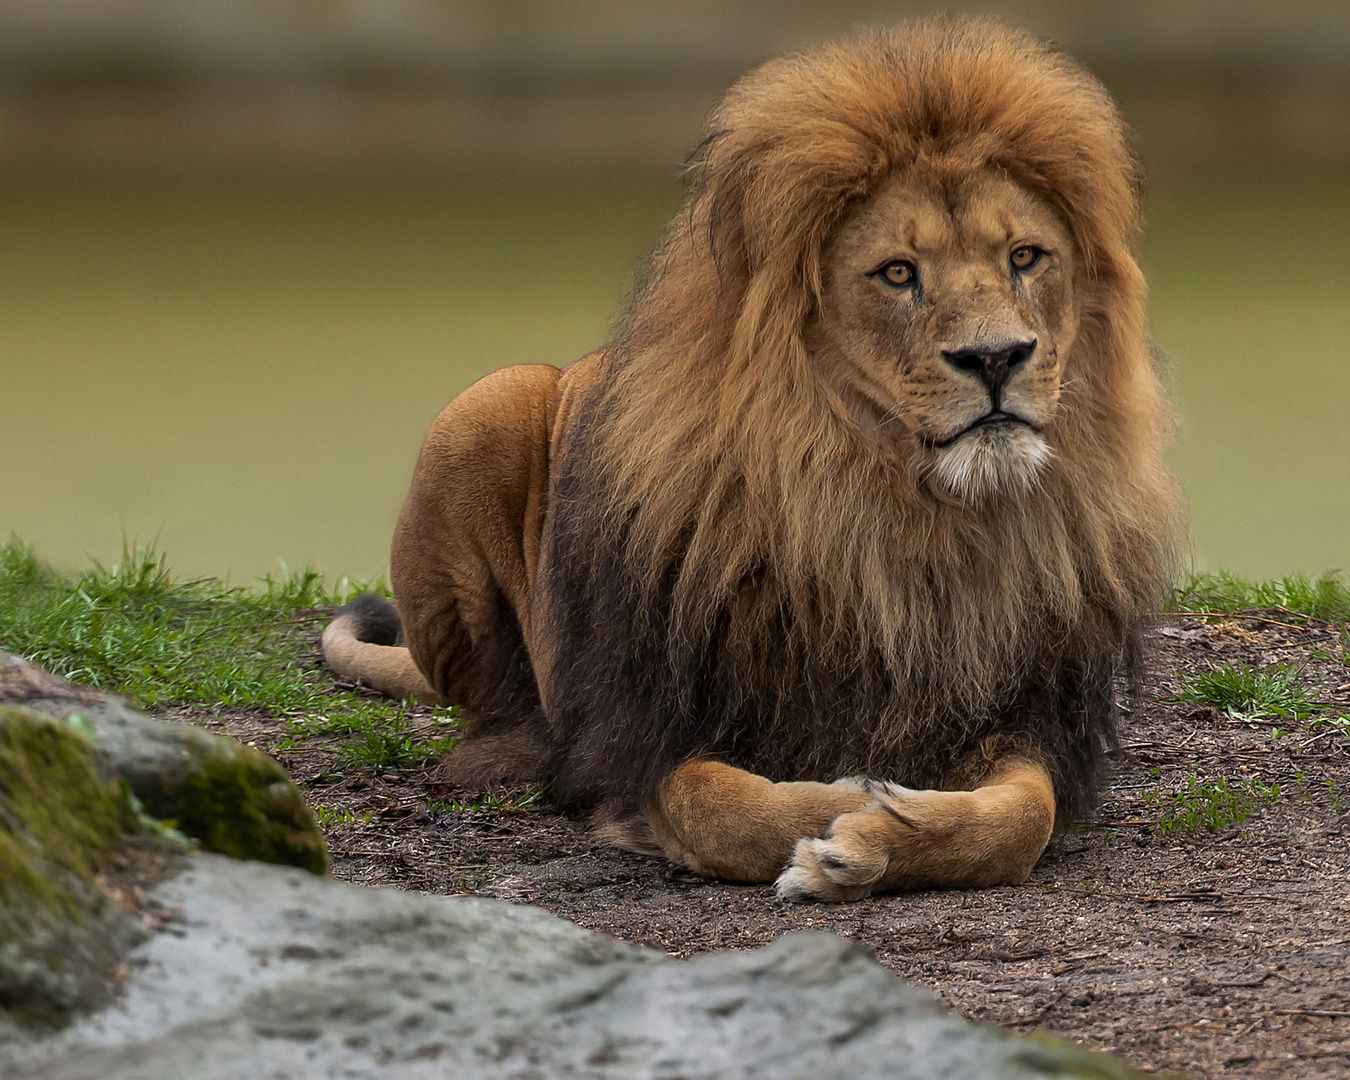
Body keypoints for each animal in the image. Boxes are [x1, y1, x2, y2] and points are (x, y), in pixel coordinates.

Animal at [326, 21, 1182, 907]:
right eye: (898, 273)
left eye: (1024, 257)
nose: (997, 357)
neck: (895, 511)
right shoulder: (643, 731)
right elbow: (727, 807)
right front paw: (850, 814)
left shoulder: (1027, 716)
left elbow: (1018, 821)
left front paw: (890, 828)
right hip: (486, 405)